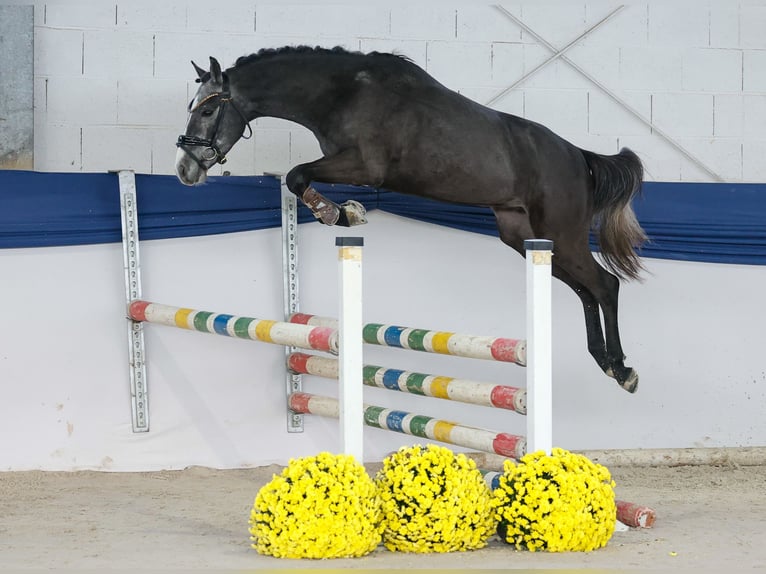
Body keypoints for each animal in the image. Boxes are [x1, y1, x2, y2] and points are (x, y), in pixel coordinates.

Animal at [175, 46, 647, 393]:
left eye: (207, 112)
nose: (184, 170)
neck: (341, 93)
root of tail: (579, 157)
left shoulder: (365, 167)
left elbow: (296, 174)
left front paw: (340, 213)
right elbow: (297, 177)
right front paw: (344, 213)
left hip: (560, 233)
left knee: (605, 285)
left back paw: (623, 369)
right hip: (523, 236)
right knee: (585, 290)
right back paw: (604, 361)